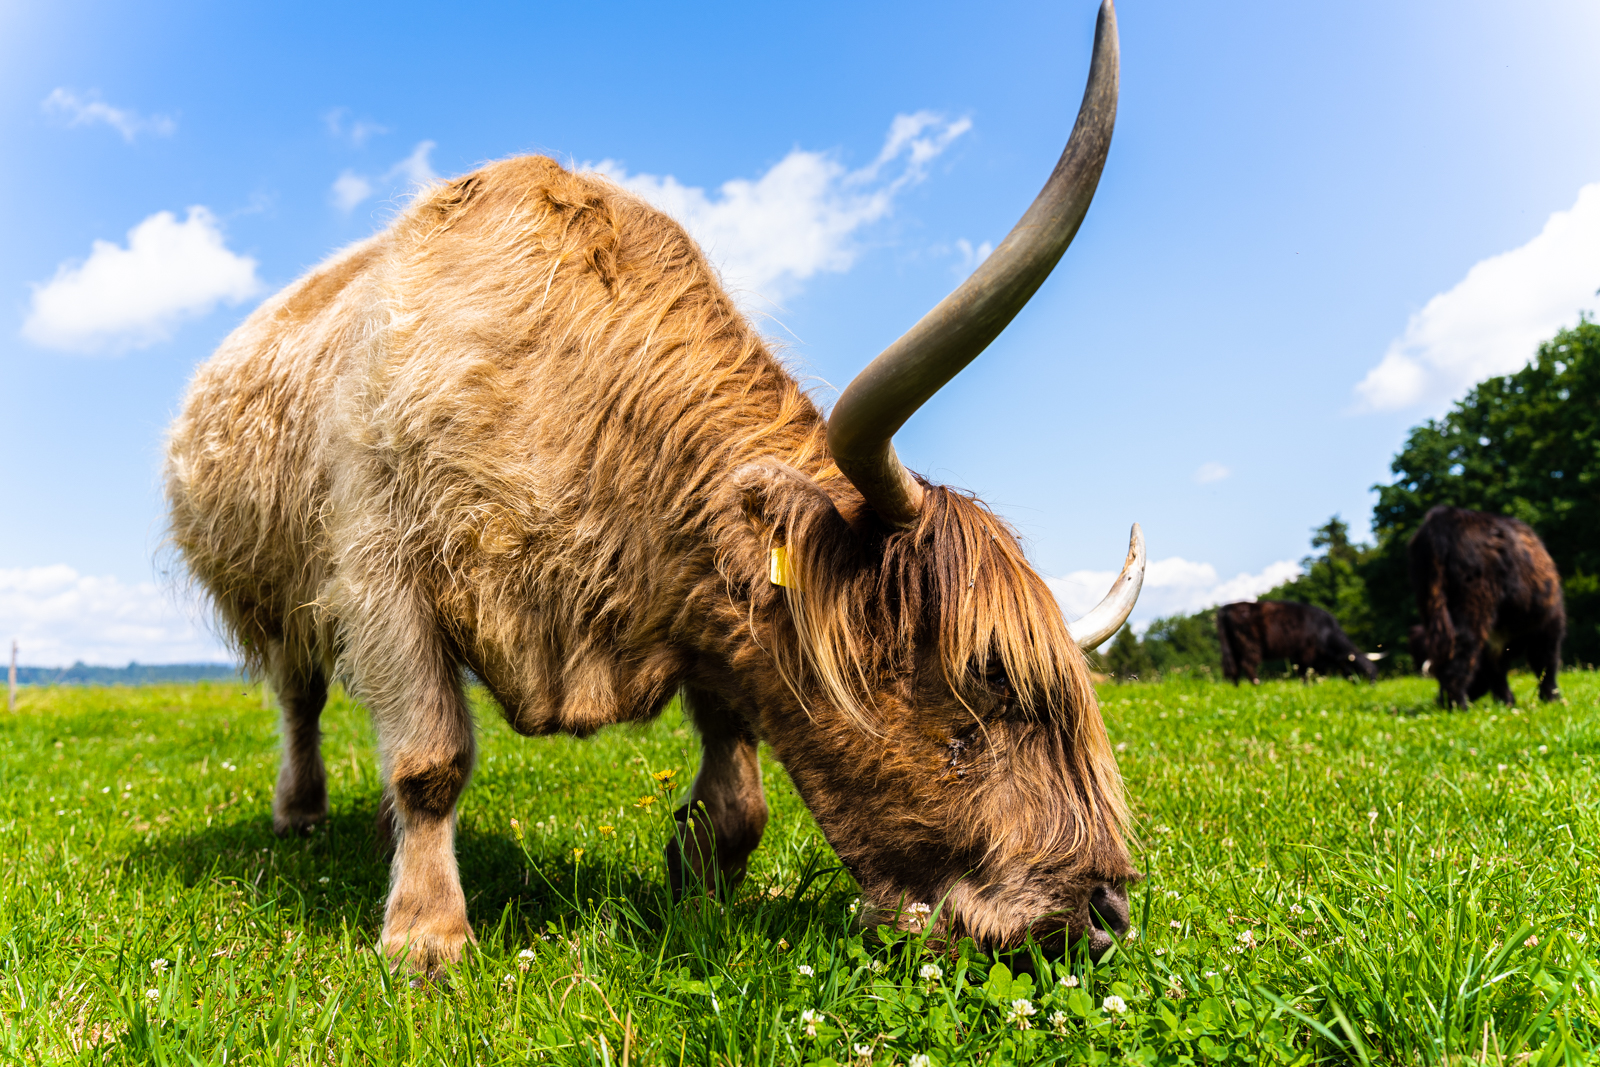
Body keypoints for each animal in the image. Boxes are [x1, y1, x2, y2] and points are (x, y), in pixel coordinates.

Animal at [165, 0, 1152, 972]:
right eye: (984, 685)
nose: (1101, 909)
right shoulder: (385, 576)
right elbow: (431, 759)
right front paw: (425, 937)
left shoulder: (704, 607)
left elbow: (739, 778)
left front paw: (697, 871)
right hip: (276, 596)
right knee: (302, 697)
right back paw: (303, 813)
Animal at [1209, 601, 1376, 684]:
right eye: (1363, 671)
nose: (1371, 686)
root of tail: (1225, 609)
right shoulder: (1306, 652)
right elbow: (1306, 672)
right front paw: (1307, 686)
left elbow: (1314, 672)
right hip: (1249, 644)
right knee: (1247, 665)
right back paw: (1258, 684)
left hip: (1232, 646)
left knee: (1232, 669)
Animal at [1414, 508, 1561, 710]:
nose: (1438, 701)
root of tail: (1442, 516)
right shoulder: (1548, 626)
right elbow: (1546, 664)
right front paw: (1552, 699)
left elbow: (1496, 673)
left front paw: (1506, 701)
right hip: (1474, 607)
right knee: (1461, 651)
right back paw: (1459, 706)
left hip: (1431, 606)